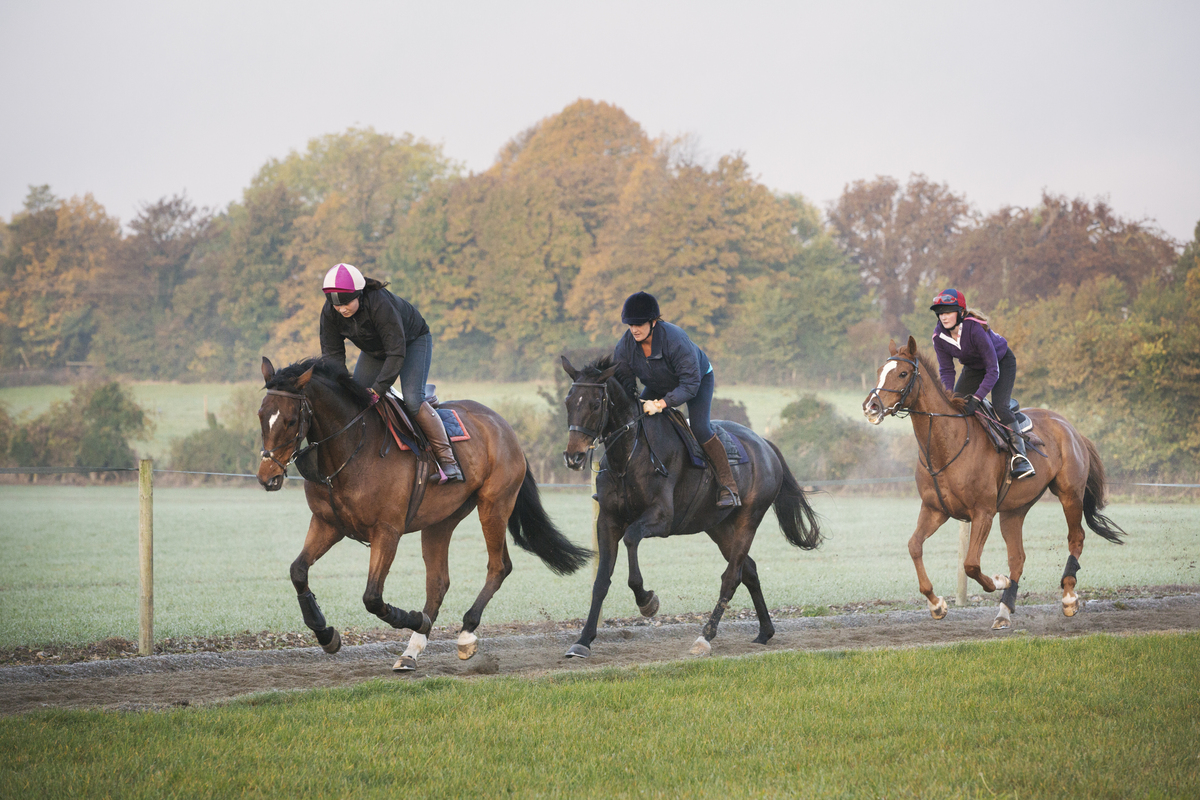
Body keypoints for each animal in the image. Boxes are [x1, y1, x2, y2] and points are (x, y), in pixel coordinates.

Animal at [256, 357, 590, 671]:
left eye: (289, 421)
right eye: (261, 416)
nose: (266, 476)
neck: (350, 449)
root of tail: (505, 427)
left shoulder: (387, 531)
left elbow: (372, 597)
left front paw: (414, 619)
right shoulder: (327, 524)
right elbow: (298, 571)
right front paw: (326, 634)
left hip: (494, 505)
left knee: (499, 566)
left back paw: (465, 633)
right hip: (440, 521)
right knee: (438, 582)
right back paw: (411, 652)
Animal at [561, 357, 825, 657]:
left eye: (595, 404)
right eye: (569, 401)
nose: (573, 456)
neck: (628, 457)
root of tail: (765, 445)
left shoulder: (661, 518)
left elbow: (631, 541)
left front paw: (646, 600)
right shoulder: (607, 520)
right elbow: (601, 581)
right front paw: (583, 640)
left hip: (749, 519)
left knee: (731, 577)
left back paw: (705, 636)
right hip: (718, 526)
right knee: (750, 571)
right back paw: (764, 631)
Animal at [864, 335, 1123, 628]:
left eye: (903, 373)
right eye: (880, 371)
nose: (871, 407)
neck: (947, 444)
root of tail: (1072, 428)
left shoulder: (983, 513)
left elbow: (971, 564)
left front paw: (998, 581)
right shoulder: (935, 510)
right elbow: (914, 546)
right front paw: (936, 603)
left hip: (1069, 494)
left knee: (1076, 538)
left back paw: (1068, 597)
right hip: (1014, 510)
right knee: (1018, 557)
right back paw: (1004, 610)